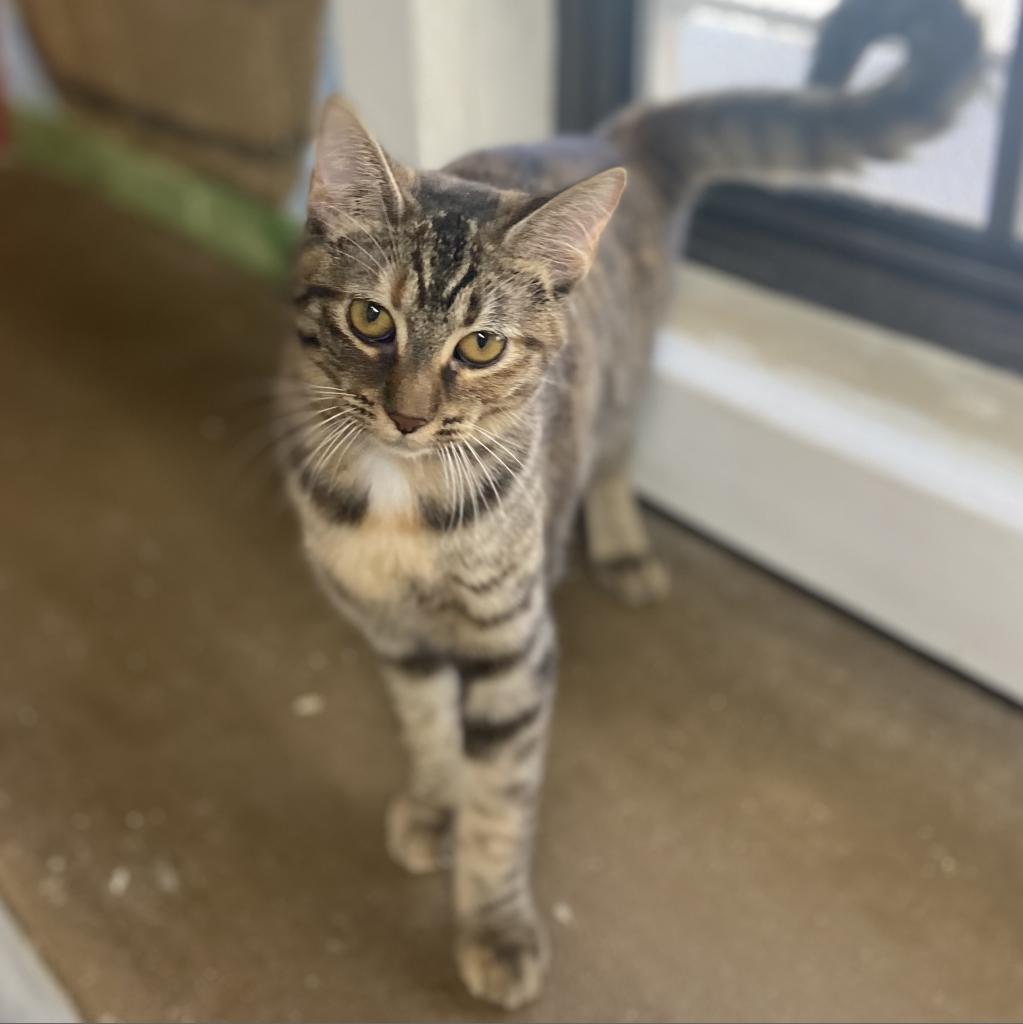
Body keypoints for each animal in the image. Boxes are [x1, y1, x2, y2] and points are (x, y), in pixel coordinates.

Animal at [276, 0, 978, 1007]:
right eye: (371, 319)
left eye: (481, 346)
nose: (408, 415)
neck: (399, 497)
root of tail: (616, 135)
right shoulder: (390, 629)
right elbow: (426, 725)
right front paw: (432, 802)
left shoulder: (513, 643)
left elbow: (501, 799)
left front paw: (493, 923)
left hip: (623, 380)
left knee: (615, 456)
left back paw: (621, 547)